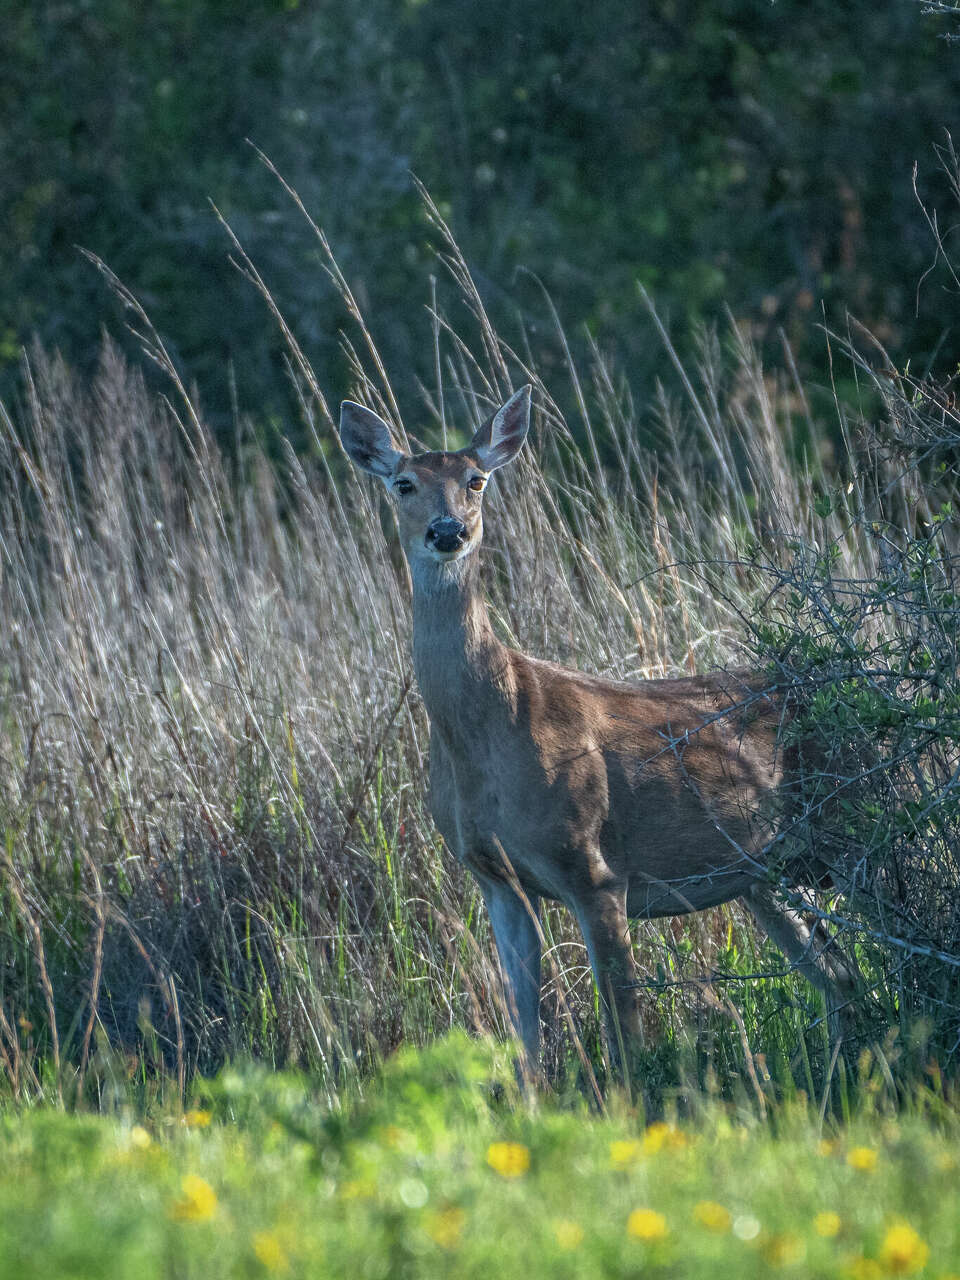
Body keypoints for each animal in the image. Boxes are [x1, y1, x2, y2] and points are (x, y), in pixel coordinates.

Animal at [337, 381, 855, 1080]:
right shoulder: (493, 879)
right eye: (403, 483)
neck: (482, 741)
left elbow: (626, 1034)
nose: (449, 531)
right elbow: (525, 1034)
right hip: (766, 873)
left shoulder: (594, 866)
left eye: (476, 480)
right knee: (838, 975)